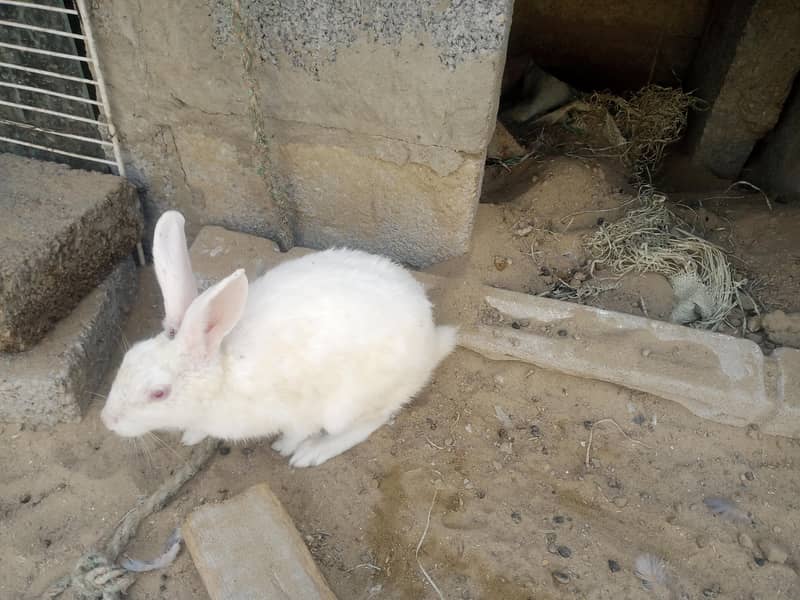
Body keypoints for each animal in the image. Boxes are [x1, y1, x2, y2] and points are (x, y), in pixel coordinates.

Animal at [100, 211, 457, 467]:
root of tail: (431, 341)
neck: (222, 370)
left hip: (350, 404)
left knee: (370, 422)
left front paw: (286, 448)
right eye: (127, 358)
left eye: (159, 393)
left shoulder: (298, 413)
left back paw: (312, 452)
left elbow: (297, 432)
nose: (108, 420)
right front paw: (191, 435)